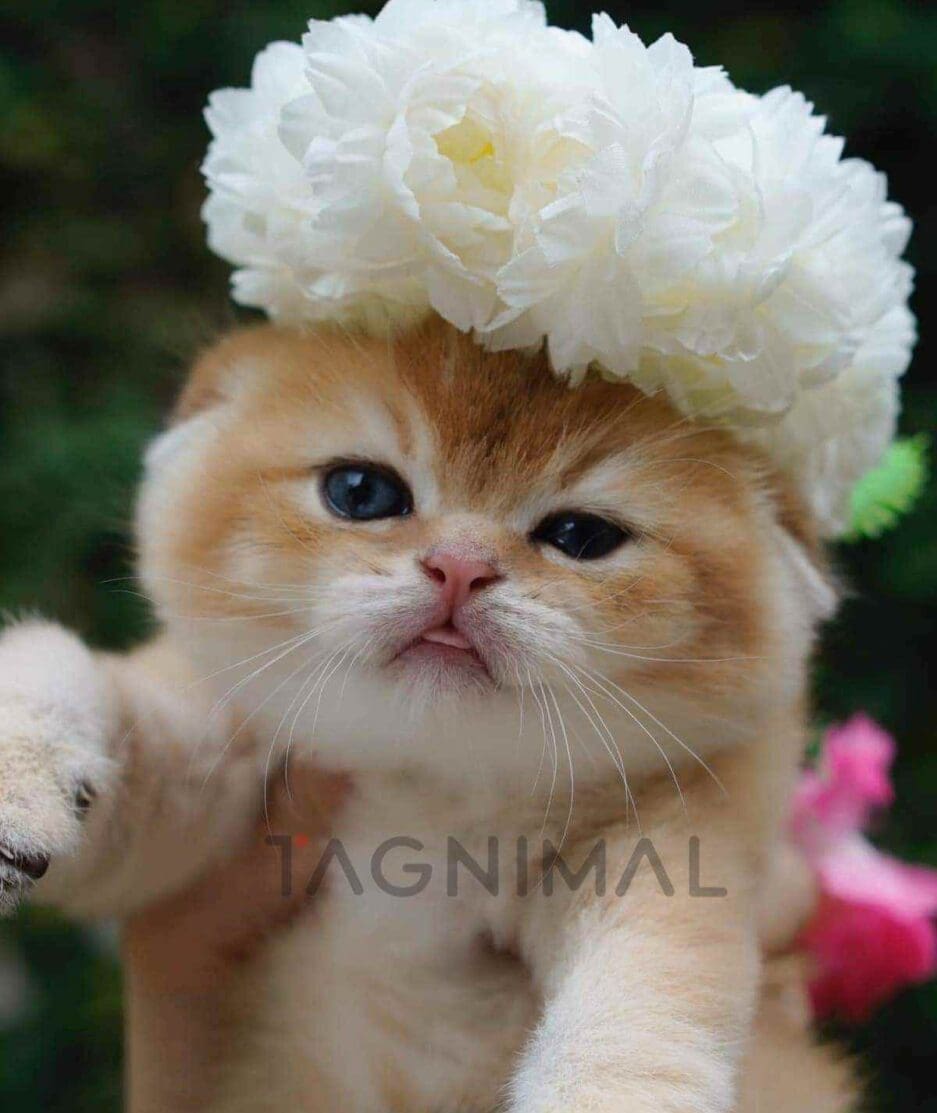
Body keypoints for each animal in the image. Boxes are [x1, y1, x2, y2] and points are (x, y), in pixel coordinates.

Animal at [0, 318, 856, 1111]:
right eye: (361, 491)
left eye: (580, 536)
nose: (461, 564)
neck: (430, 786)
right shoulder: (215, 763)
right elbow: (89, 692)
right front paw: (22, 783)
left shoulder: (668, 843)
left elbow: (641, 1000)